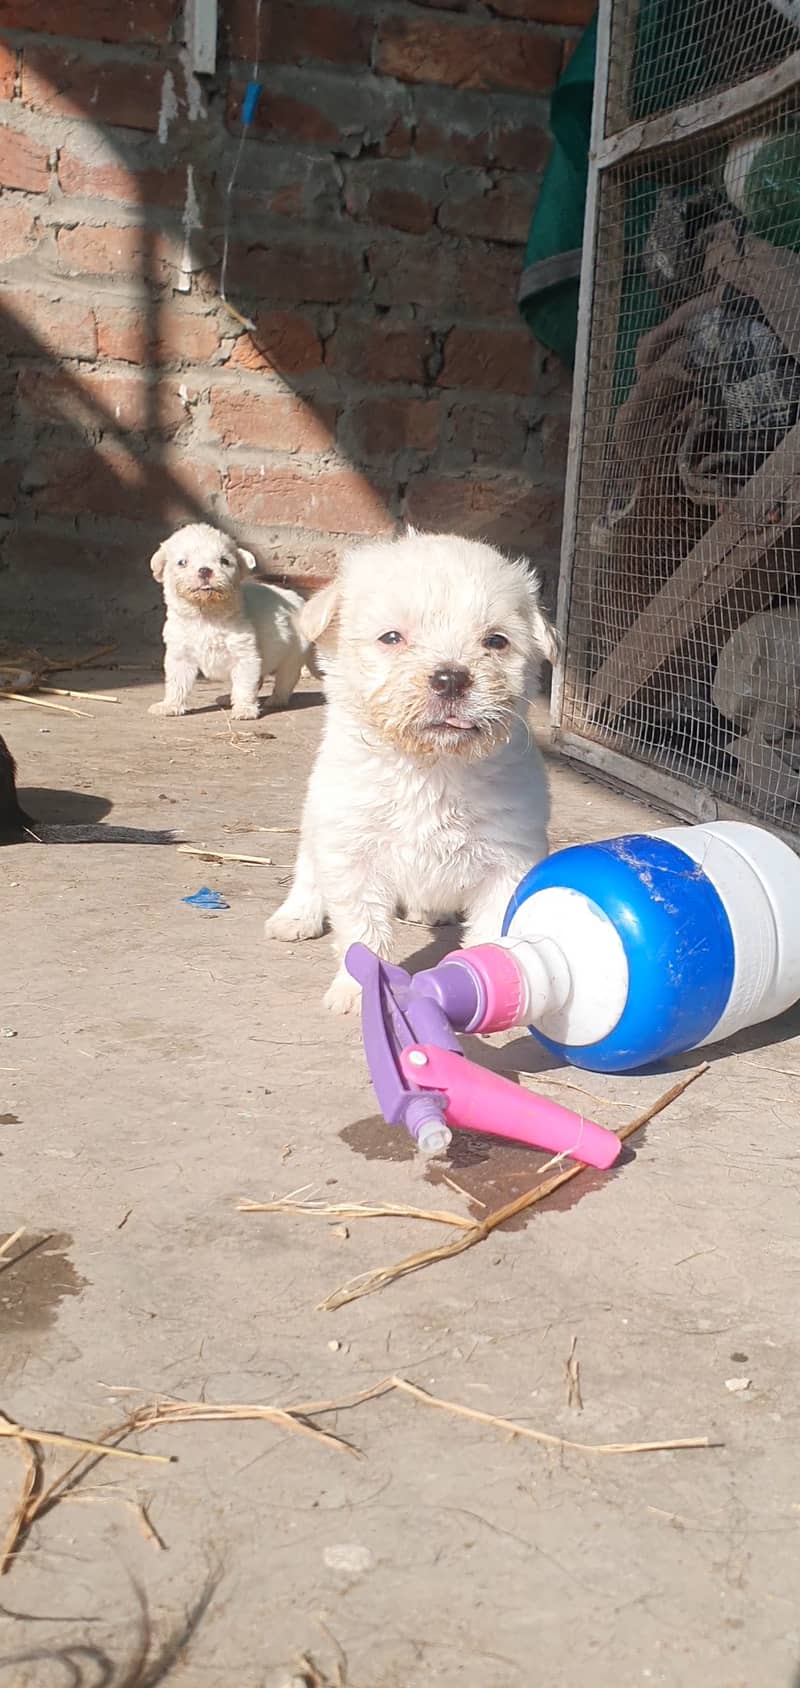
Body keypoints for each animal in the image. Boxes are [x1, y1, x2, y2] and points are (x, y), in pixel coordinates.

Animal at [148, 519, 310, 719]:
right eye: (182, 562)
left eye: (224, 561)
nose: (205, 570)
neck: (207, 615)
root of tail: (300, 600)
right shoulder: (180, 655)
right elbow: (176, 684)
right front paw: (170, 705)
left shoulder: (245, 655)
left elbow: (245, 685)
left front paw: (244, 709)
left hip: (293, 655)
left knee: (285, 680)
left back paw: (276, 700)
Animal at [266, 526, 556, 1006]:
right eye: (391, 638)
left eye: (496, 641)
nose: (451, 678)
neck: (432, 767)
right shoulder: (352, 851)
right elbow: (363, 932)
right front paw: (359, 992)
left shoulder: (509, 859)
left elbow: (493, 930)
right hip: (316, 822)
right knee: (307, 869)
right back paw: (297, 915)